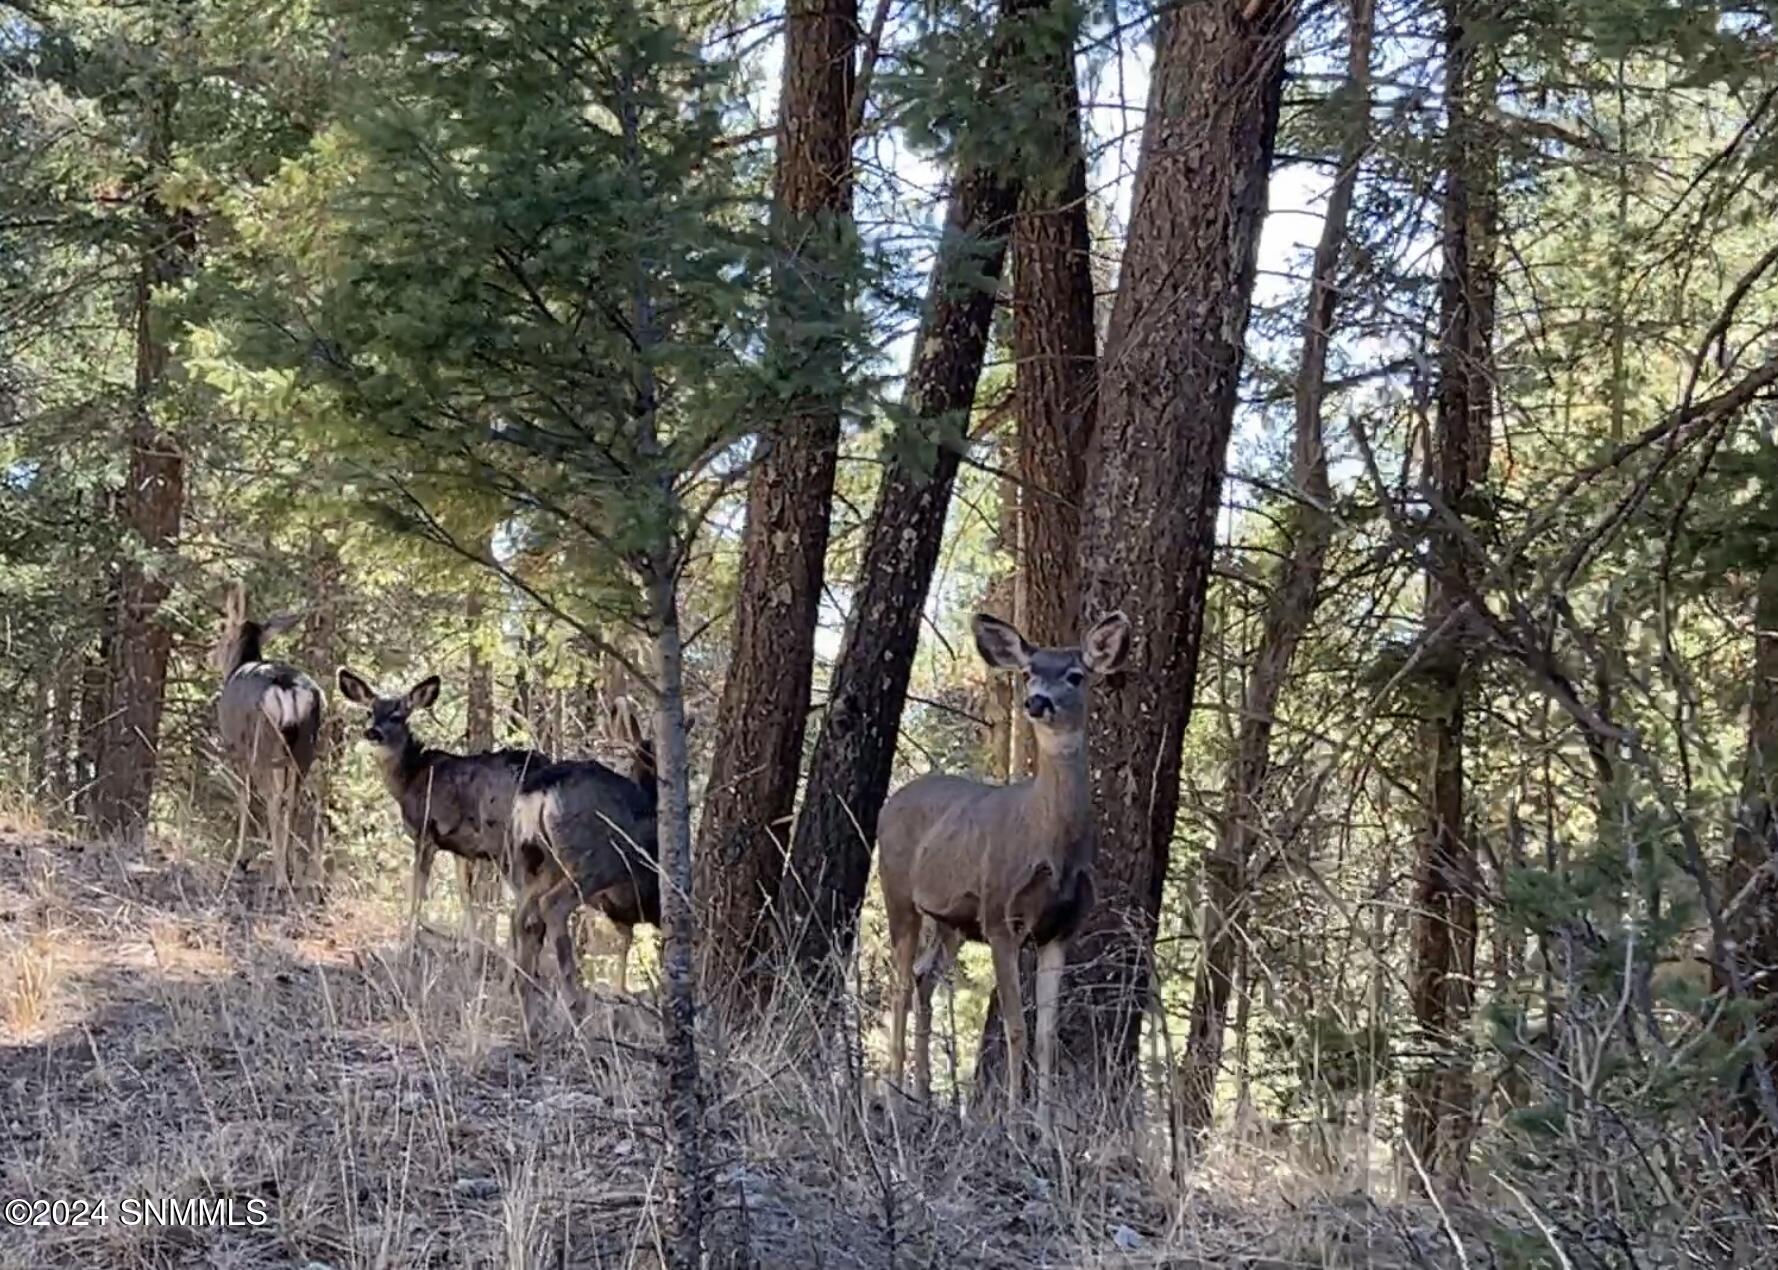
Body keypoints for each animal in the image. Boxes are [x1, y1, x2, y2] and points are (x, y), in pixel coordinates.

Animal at [215, 586, 327, 889]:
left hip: (262, 744)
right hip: (302, 749)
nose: (211, 655)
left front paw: (238, 861)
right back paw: (287, 871)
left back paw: (277, 876)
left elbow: (243, 798)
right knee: (294, 800)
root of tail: (288, 690)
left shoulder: (234, 747)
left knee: (273, 798)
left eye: (223, 628)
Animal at [334, 668, 547, 932]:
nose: (372, 732)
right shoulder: (461, 846)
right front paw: (470, 942)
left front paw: (409, 935)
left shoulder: (425, 832)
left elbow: (417, 894)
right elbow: (466, 901)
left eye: (397, 716)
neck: (410, 778)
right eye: (369, 712)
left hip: (508, 839)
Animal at [512, 697, 664, 1031]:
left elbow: (625, 944)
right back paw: (574, 1005)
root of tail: (542, 788)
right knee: (553, 905)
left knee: (523, 916)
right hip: (597, 860)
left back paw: (527, 1007)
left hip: (538, 860)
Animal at [881, 611, 1130, 1117]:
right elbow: (1015, 1027)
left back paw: (923, 1096)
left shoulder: (1062, 928)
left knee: (922, 976)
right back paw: (894, 1096)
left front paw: (1046, 1124)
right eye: (1029, 672)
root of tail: (889, 803)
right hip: (898, 893)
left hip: (952, 920)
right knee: (898, 985)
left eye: (1075, 675)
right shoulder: (1000, 914)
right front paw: (1014, 1120)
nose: (1035, 702)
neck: (1051, 846)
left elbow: (1047, 1036)